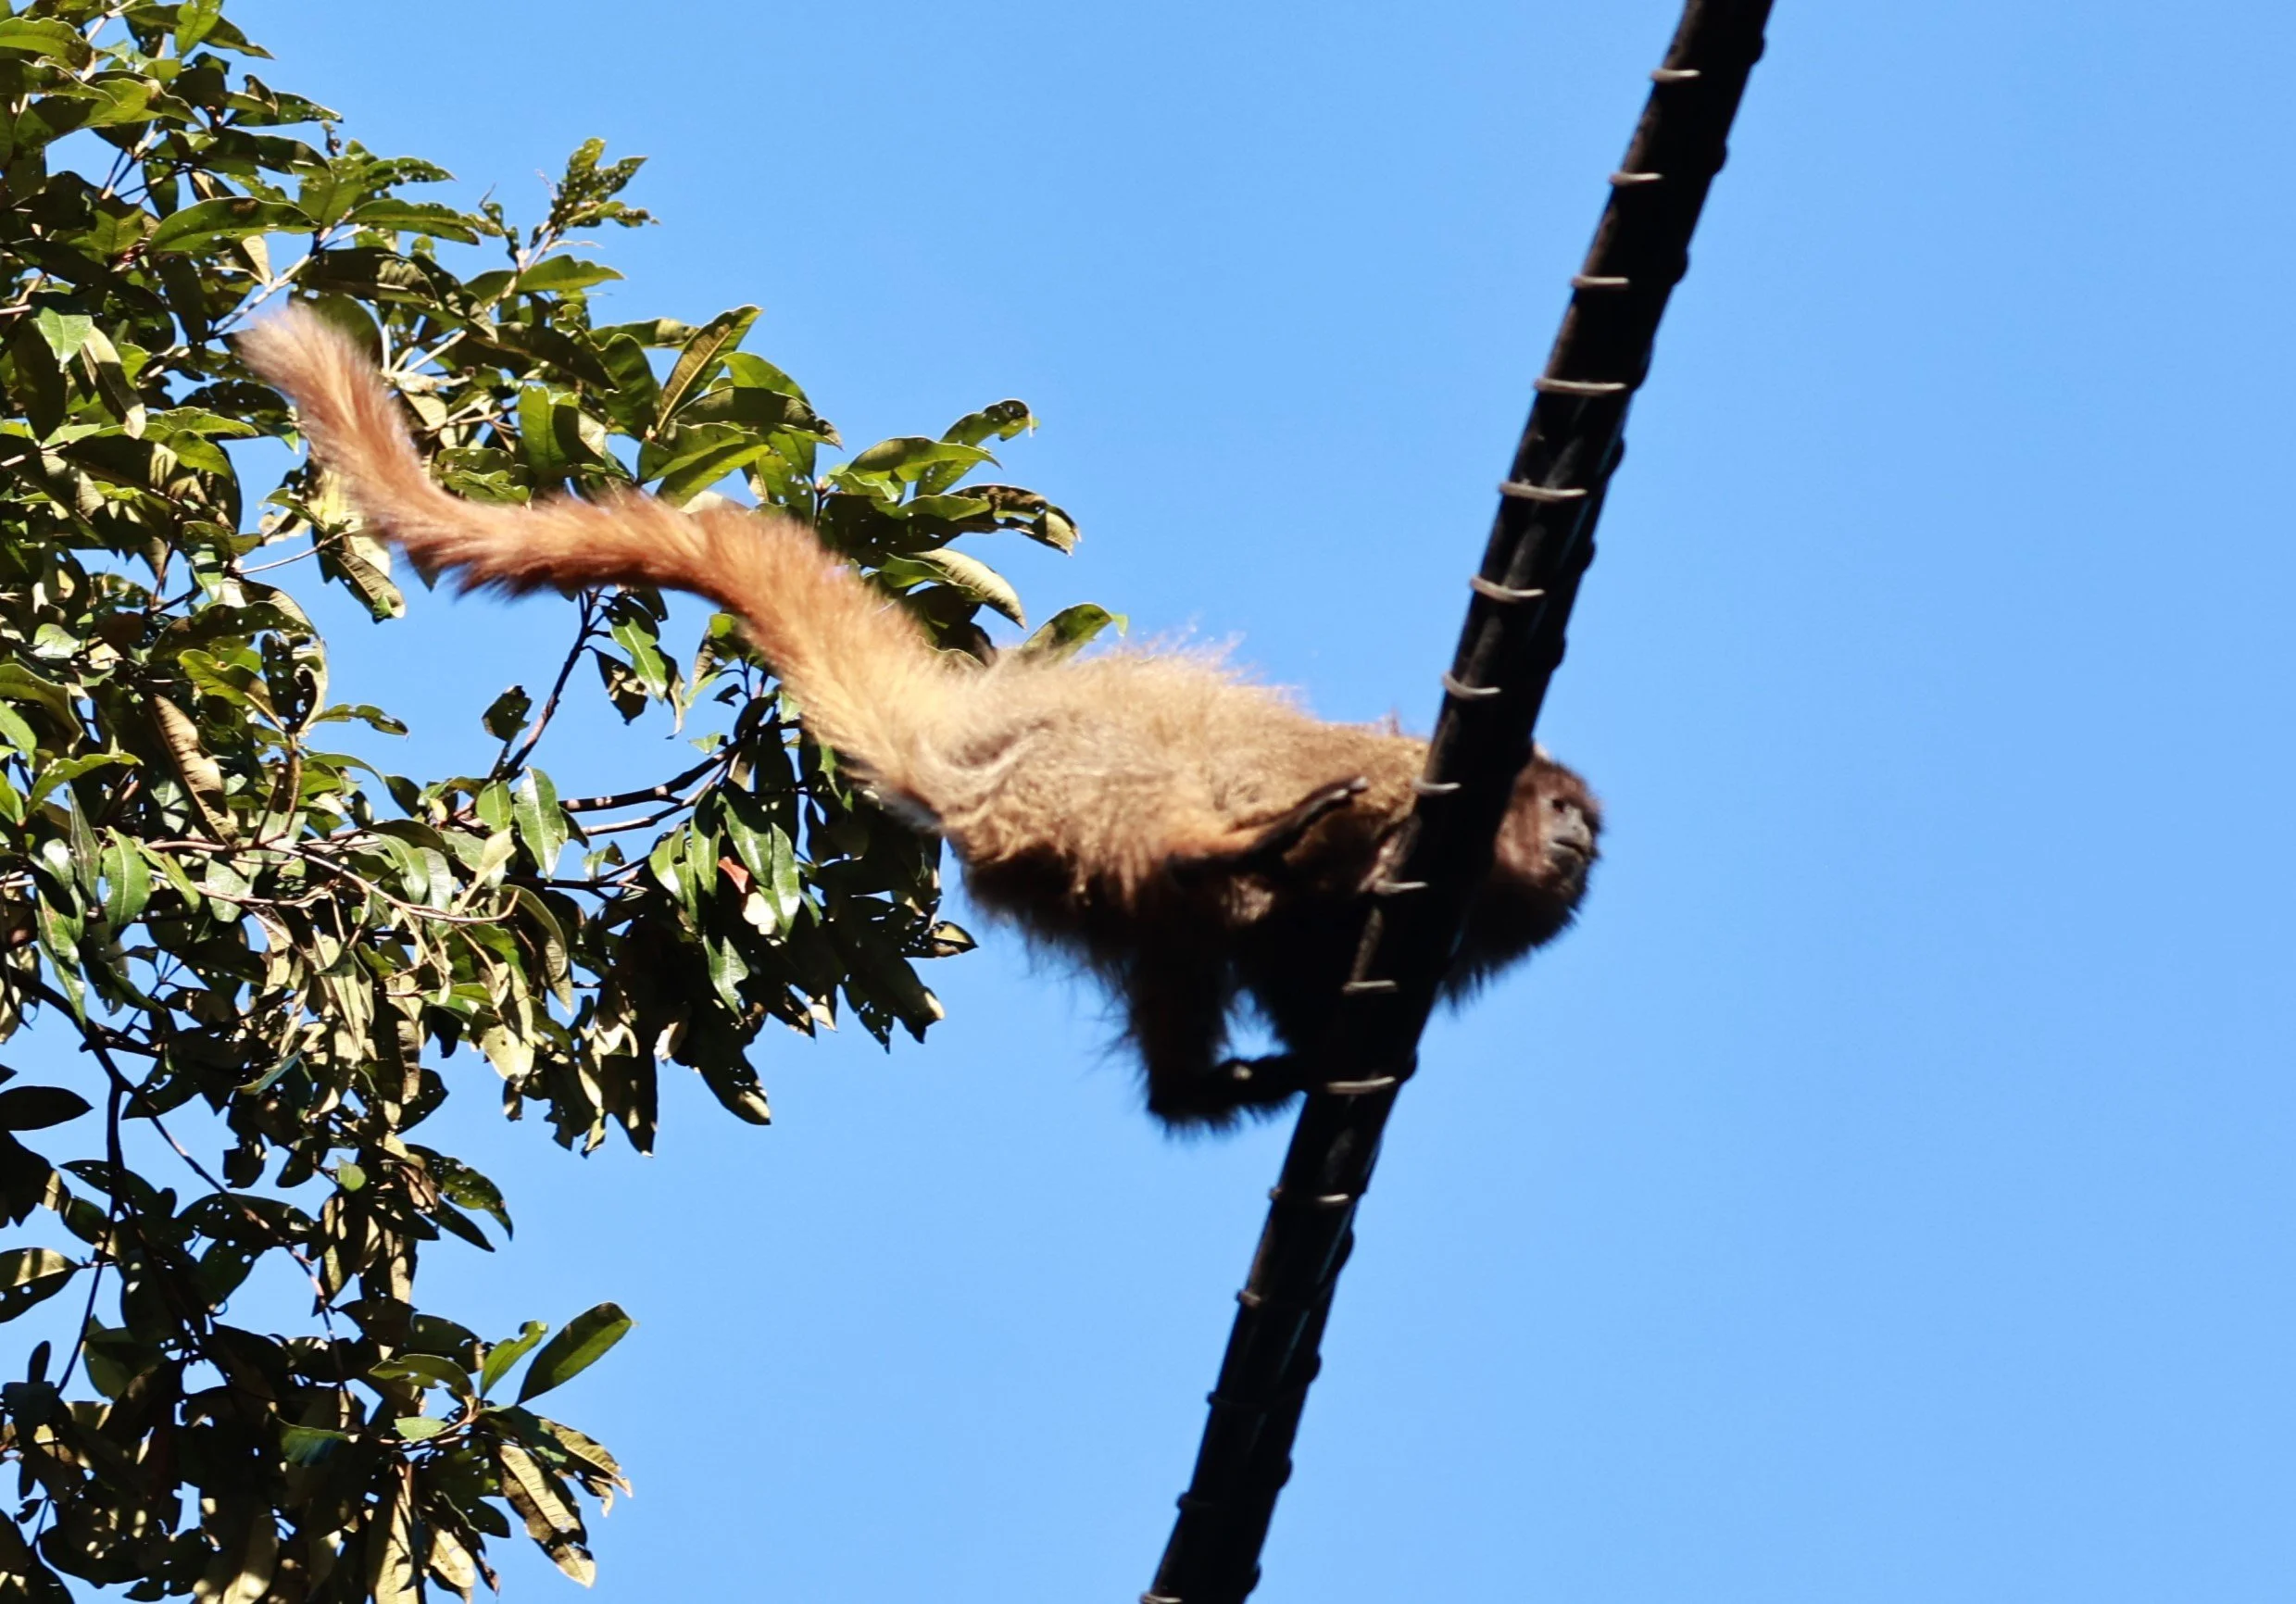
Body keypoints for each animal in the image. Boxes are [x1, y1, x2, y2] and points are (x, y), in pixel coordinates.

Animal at [236, 307, 1601, 1127]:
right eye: (1568, 813)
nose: (1583, 843)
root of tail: (957, 742)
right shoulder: (1409, 785)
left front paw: (1322, 1056)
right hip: (1071, 773)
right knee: (1172, 821)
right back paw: (1222, 843)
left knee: (1178, 946)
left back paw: (1204, 1081)